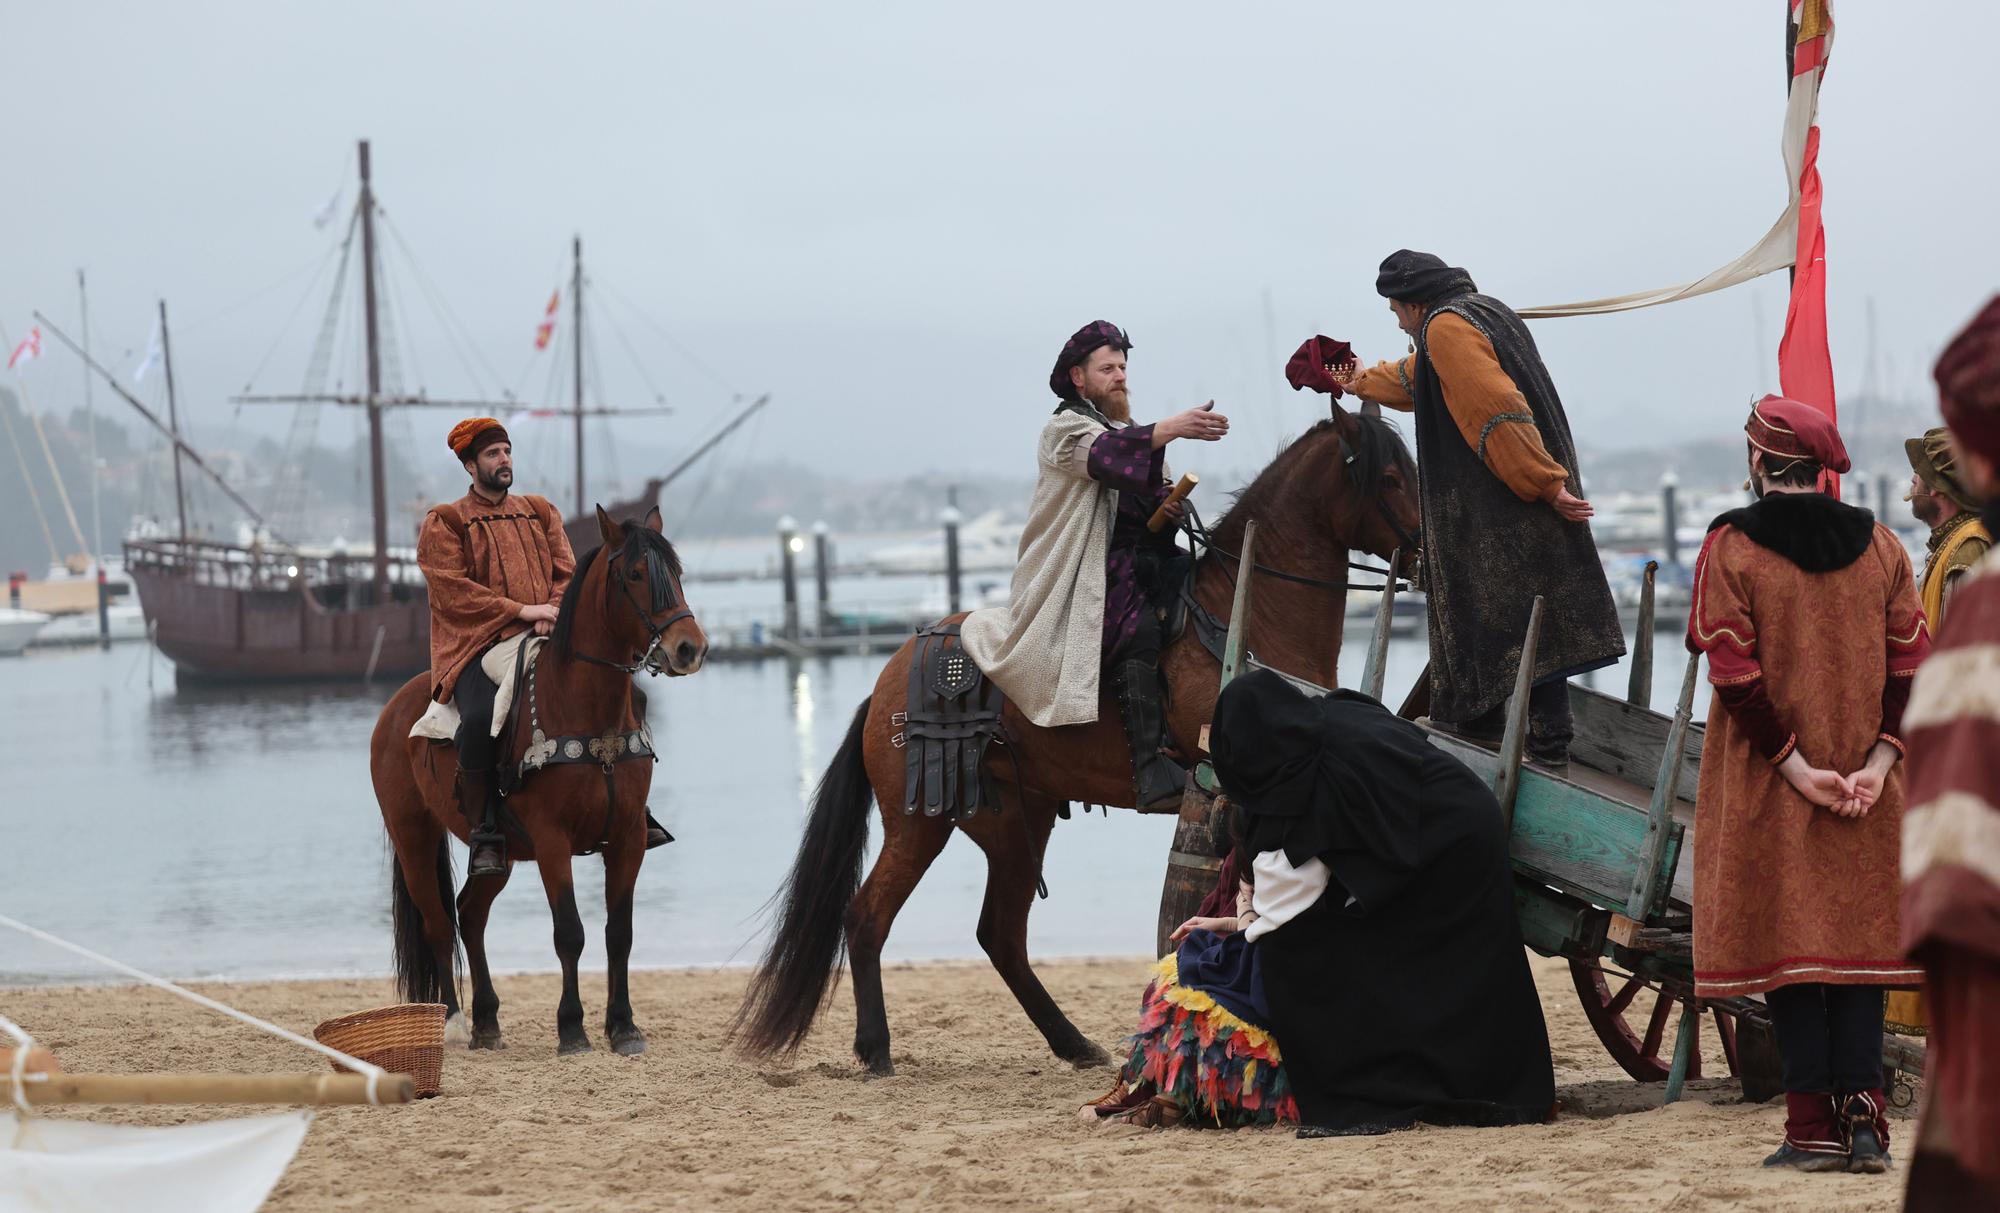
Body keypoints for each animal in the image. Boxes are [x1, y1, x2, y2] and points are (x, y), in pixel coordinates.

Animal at [372, 508, 708, 1056]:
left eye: (676, 573)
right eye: (635, 574)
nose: (689, 648)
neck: (588, 713)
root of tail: (396, 707)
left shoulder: (629, 838)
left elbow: (620, 933)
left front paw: (623, 1026)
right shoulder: (553, 841)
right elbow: (569, 932)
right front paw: (572, 1029)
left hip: (500, 854)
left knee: (471, 913)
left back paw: (487, 1021)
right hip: (413, 834)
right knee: (440, 923)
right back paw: (455, 1021)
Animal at [736, 414, 1424, 1080]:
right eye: (1390, 477)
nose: (1423, 556)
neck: (1244, 616)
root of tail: (886, 682)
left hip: (1013, 823)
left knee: (1000, 935)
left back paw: (1071, 1043)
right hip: (919, 821)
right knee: (868, 917)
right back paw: (876, 1048)